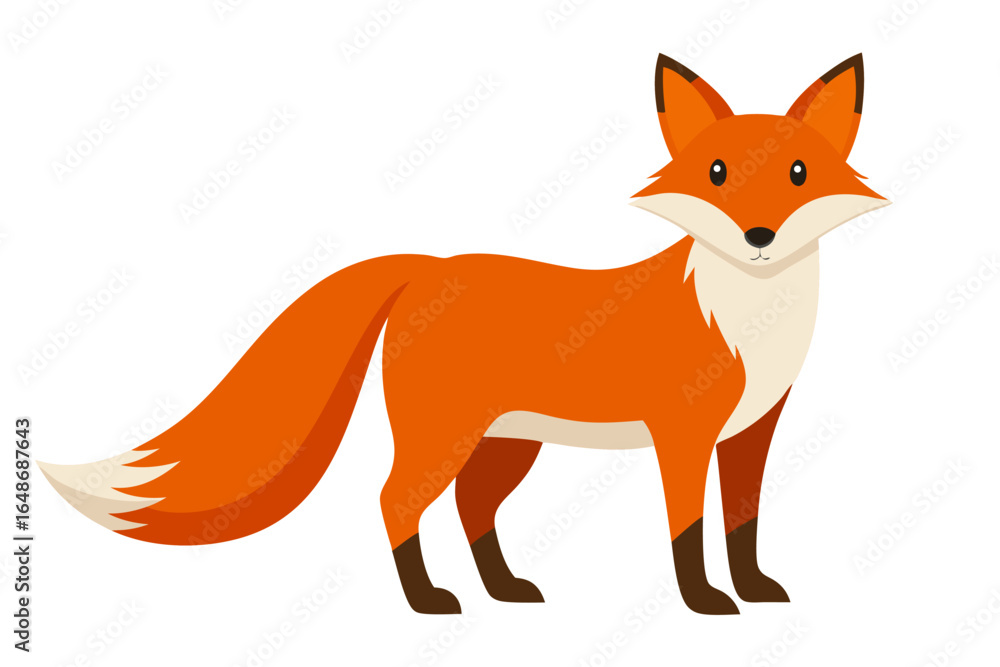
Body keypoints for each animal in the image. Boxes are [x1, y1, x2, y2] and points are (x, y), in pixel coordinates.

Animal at [39, 53, 887, 615]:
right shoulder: (682, 432)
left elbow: (743, 521)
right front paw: (705, 601)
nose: (758, 235)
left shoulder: (753, 429)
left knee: (471, 509)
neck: (750, 318)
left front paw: (756, 588)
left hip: (505, 443)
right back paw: (428, 599)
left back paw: (504, 589)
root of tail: (428, 267)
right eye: (716, 174)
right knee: (395, 501)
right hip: (443, 433)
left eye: (799, 174)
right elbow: (688, 528)